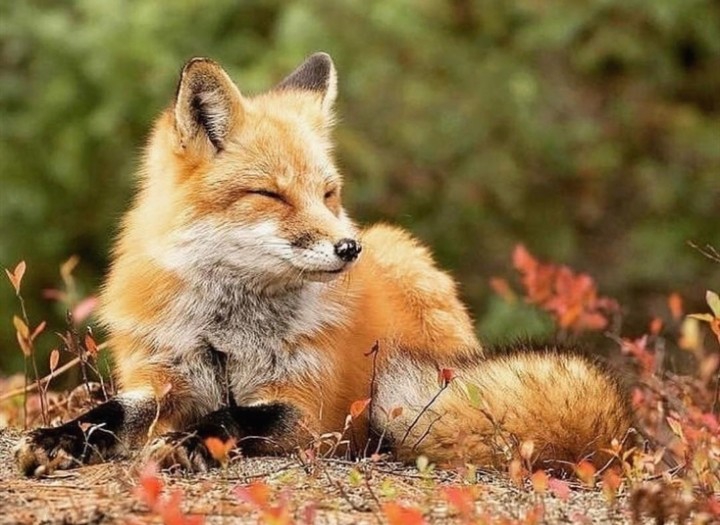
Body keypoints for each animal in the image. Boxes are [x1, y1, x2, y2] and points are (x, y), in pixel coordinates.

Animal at [16, 53, 632, 476]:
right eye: (271, 195)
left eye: (328, 194)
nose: (348, 249)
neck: (225, 334)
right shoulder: (162, 378)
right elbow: (108, 412)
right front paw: (60, 437)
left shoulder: (312, 412)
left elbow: (241, 417)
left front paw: (195, 441)